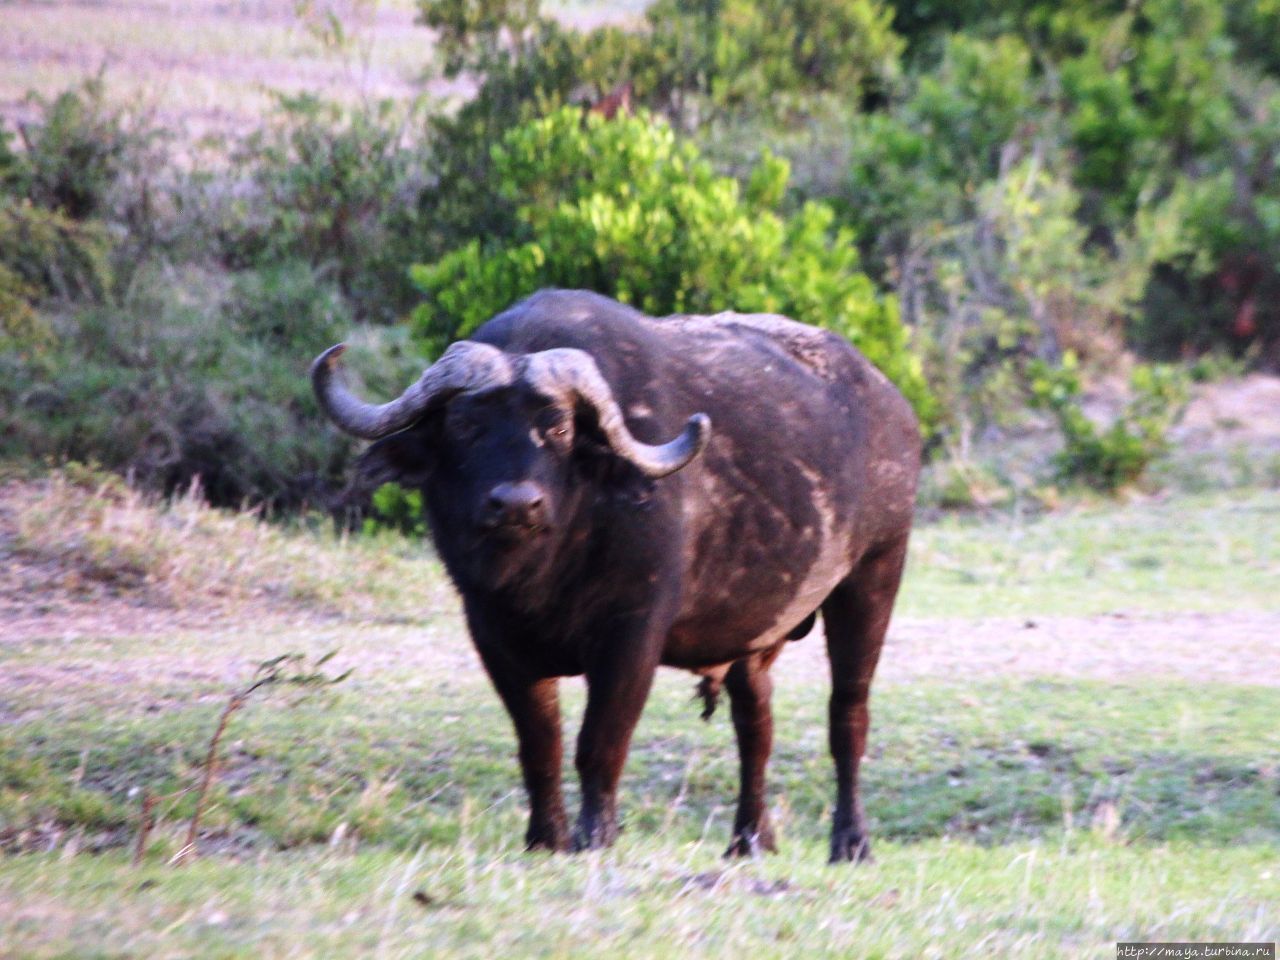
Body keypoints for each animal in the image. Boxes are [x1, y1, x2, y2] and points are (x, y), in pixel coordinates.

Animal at [316, 288, 926, 865]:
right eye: (466, 425)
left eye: (558, 427)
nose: (516, 504)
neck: (544, 574)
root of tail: (893, 407)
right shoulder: (494, 637)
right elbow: (539, 745)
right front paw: (545, 839)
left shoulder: (632, 636)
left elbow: (600, 742)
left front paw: (597, 836)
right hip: (756, 636)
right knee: (755, 726)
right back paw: (748, 839)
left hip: (873, 577)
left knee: (848, 715)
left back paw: (851, 841)